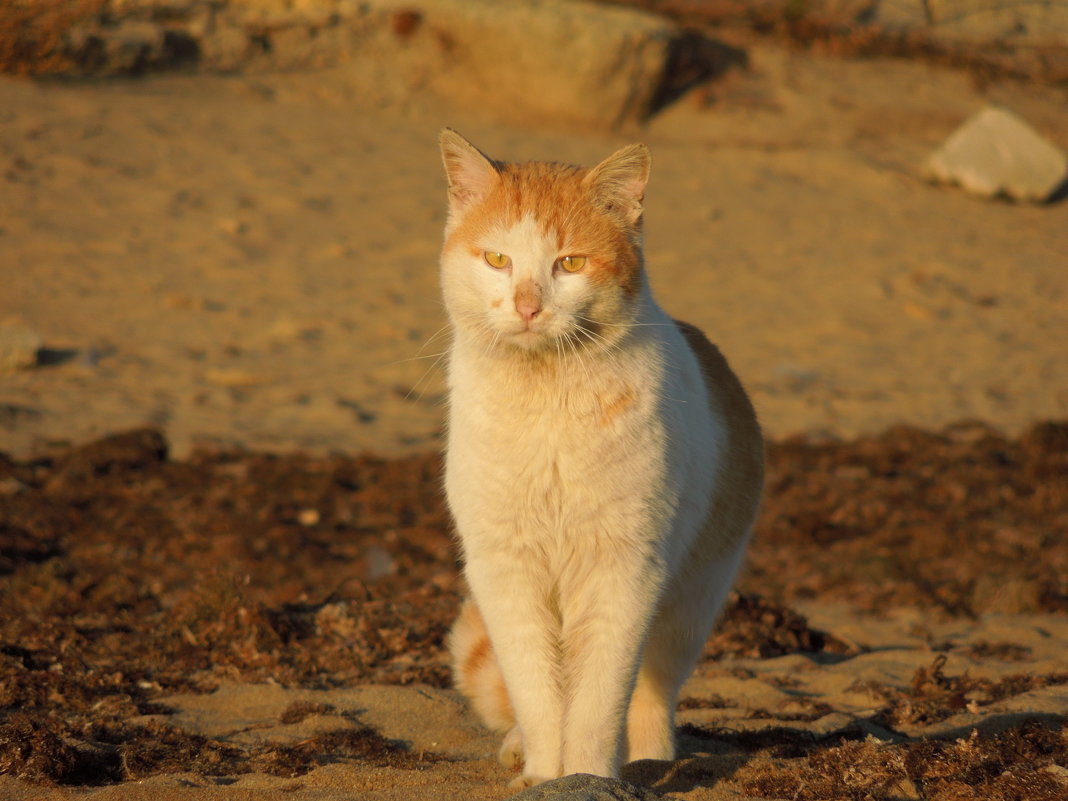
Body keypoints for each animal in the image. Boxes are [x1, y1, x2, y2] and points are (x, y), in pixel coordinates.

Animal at [437, 131, 764, 790]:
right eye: (497, 259)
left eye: (570, 264)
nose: (528, 305)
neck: (545, 405)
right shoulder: (505, 570)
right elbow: (538, 692)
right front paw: (545, 775)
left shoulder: (623, 571)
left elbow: (596, 701)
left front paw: (588, 775)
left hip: (688, 605)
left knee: (650, 696)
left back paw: (647, 761)